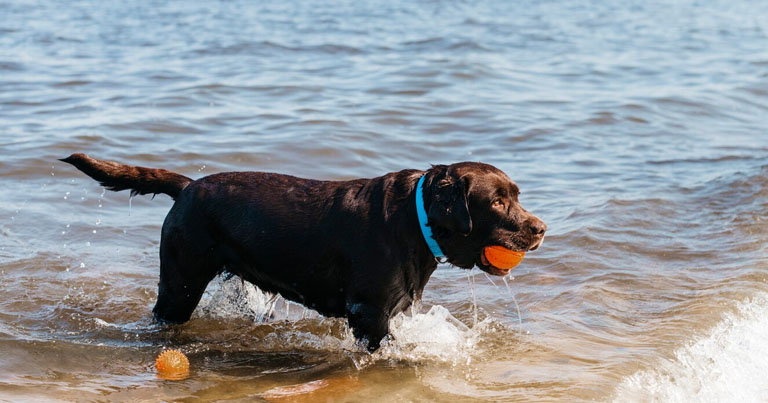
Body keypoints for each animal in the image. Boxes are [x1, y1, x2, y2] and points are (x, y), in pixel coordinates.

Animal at [61, 154, 544, 350]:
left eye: (517, 195)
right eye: (496, 202)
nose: (541, 229)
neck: (415, 217)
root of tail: (188, 186)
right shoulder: (369, 313)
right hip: (179, 284)